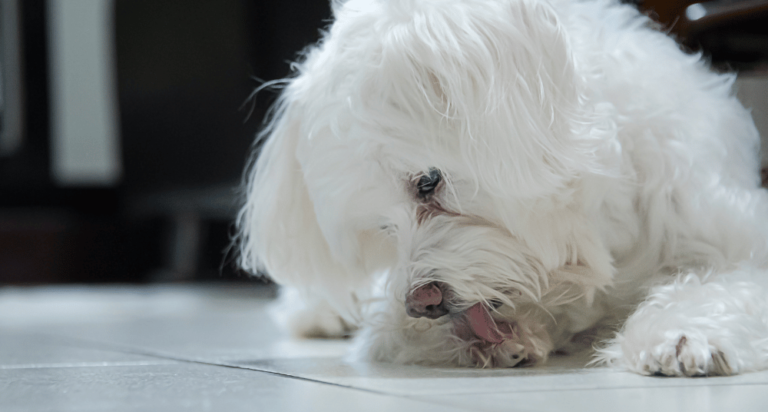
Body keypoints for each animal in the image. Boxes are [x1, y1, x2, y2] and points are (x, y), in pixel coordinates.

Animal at [237, 0, 768, 374]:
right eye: (383, 227)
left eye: (428, 182)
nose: (422, 303)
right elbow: (393, 331)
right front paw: (491, 338)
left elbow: (723, 283)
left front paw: (682, 334)